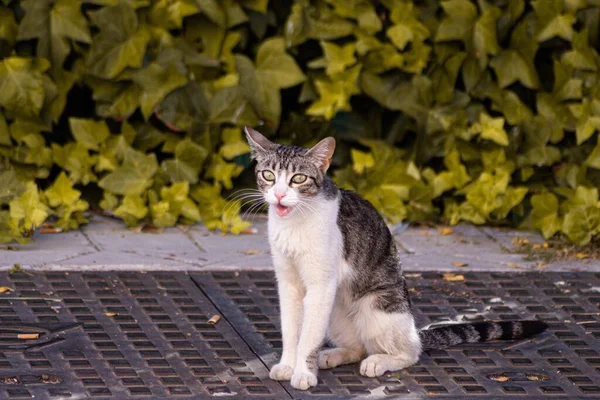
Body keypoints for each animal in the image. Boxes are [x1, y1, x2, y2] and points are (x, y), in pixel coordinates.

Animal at [244, 127, 548, 390]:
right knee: (358, 347)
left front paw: (304, 373)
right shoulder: (288, 283)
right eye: (268, 175)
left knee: (411, 351)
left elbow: (308, 335)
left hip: (377, 308)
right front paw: (288, 365)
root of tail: (413, 328)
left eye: (298, 179)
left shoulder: (321, 286)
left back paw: (379, 361)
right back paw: (332, 355)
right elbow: (291, 329)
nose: (279, 194)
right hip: (338, 311)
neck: (294, 224)